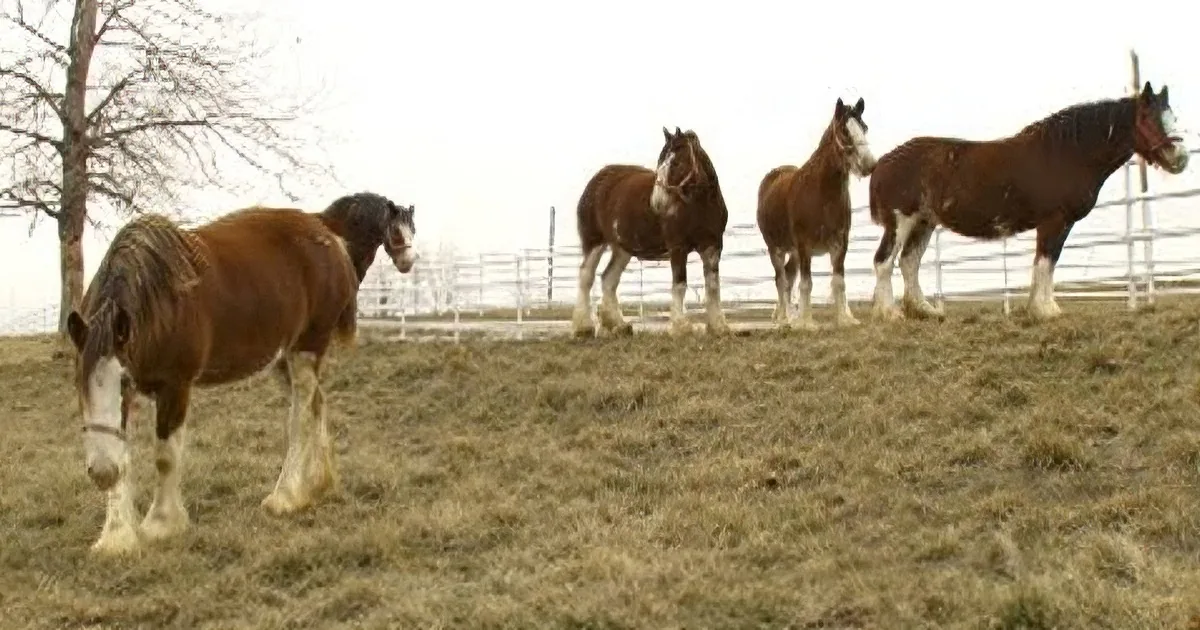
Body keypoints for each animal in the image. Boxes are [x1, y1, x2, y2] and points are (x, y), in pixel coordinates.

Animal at [64, 192, 417, 554]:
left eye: (122, 381)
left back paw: (285, 496)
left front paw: (161, 524)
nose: (101, 472)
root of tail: (328, 233)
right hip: (283, 359)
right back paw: (318, 485)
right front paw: (115, 536)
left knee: (302, 417)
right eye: (78, 382)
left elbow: (165, 457)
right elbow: (124, 453)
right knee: (317, 403)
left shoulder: (175, 387)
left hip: (306, 349)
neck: (161, 301)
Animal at [572, 126, 731, 338]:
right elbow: (680, 284)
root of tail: (596, 181)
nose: (657, 202)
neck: (699, 204)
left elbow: (713, 285)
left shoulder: (712, 246)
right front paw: (680, 327)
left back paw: (619, 325)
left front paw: (718, 326)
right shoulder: (677, 247)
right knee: (586, 276)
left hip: (622, 249)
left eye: (676, 163)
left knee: (608, 279)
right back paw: (583, 327)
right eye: (659, 162)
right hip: (594, 241)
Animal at [756, 97, 878, 330]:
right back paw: (785, 318)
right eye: (844, 131)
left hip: (793, 251)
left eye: (865, 128)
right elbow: (806, 283)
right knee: (781, 279)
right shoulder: (805, 244)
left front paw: (844, 319)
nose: (869, 165)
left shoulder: (840, 242)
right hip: (776, 248)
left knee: (788, 277)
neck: (822, 194)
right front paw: (807, 323)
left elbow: (838, 281)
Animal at [868, 81, 1190, 321]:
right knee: (884, 261)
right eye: (1147, 118)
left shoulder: (1059, 224)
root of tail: (882, 163)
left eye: (1173, 117)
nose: (1181, 158)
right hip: (901, 220)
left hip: (924, 222)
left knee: (909, 262)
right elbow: (1045, 262)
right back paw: (891, 313)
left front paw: (1041, 307)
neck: (1067, 153)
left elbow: (1047, 262)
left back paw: (925, 310)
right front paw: (1046, 310)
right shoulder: (1053, 221)